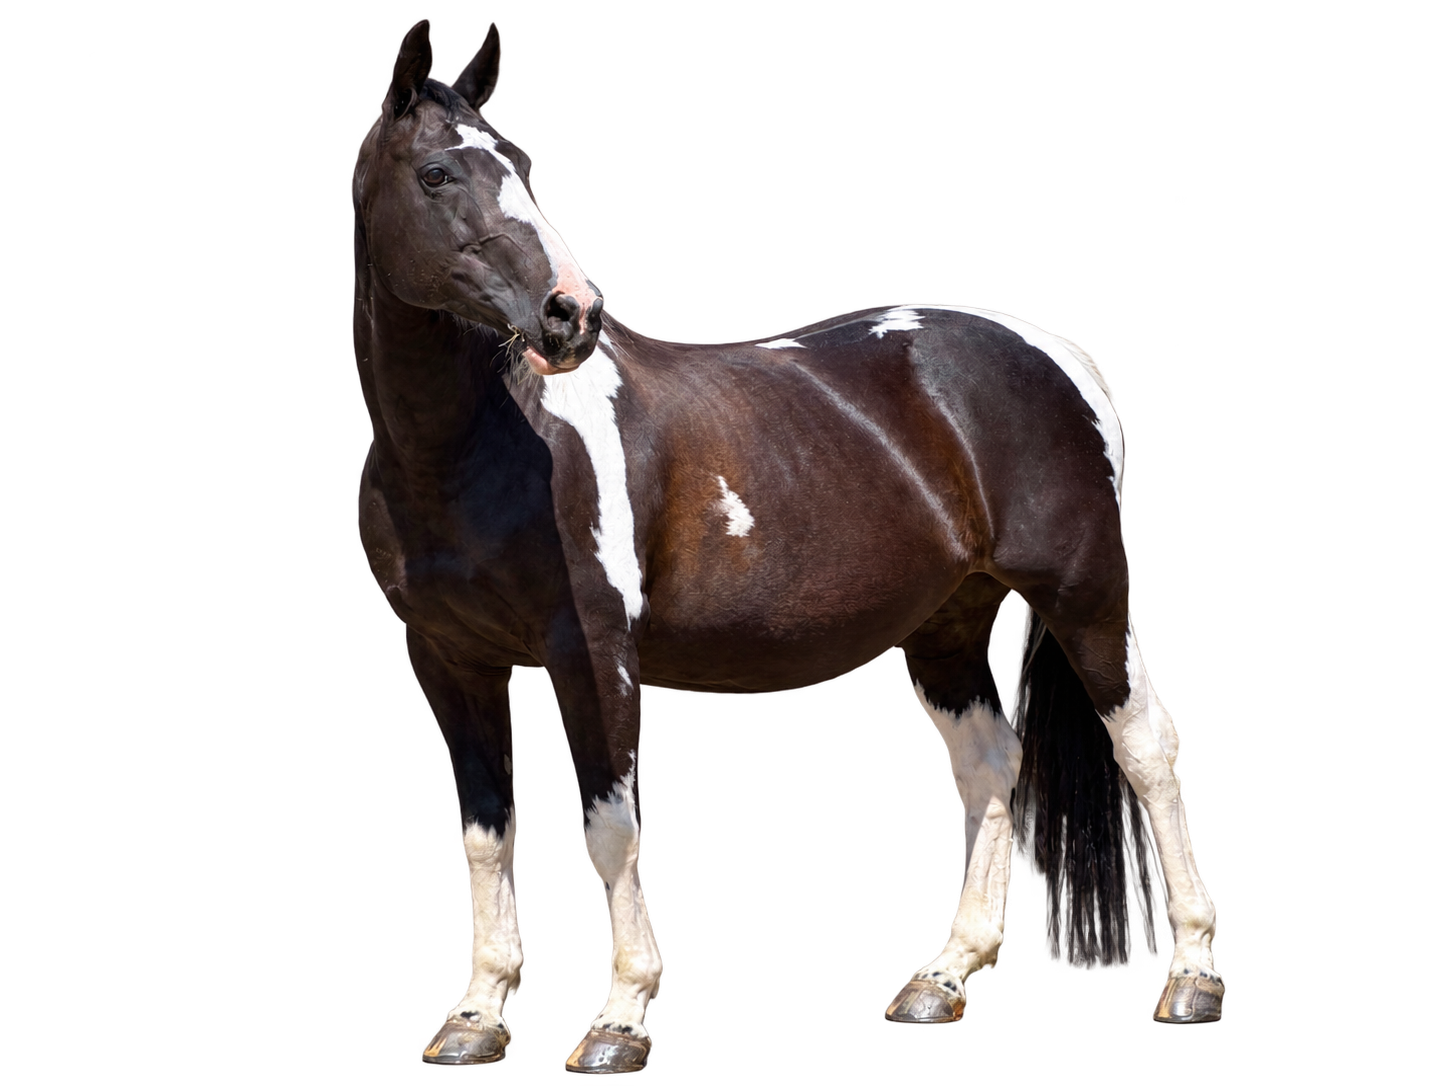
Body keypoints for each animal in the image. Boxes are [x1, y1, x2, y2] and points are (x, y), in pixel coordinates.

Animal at [351, 19, 1226, 1073]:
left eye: (521, 164)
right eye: (437, 173)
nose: (572, 314)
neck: (478, 449)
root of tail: (1053, 348)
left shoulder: (592, 657)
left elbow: (610, 826)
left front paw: (619, 1023)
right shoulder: (449, 662)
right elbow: (485, 833)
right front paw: (476, 1018)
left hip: (1086, 593)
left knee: (1148, 746)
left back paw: (1192, 977)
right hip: (949, 624)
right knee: (989, 762)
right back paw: (943, 979)